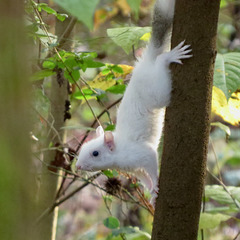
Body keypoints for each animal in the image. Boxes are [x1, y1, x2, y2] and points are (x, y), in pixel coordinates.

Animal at [76, 0, 192, 203]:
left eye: (95, 153)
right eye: (82, 148)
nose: (78, 167)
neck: (119, 151)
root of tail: (146, 63)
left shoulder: (141, 154)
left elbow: (152, 166)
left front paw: (156, 185)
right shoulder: (134, 169)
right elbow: (144, 178)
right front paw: (152, 192)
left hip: (157, 91)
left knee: (161, 66)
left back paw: (168, 57)